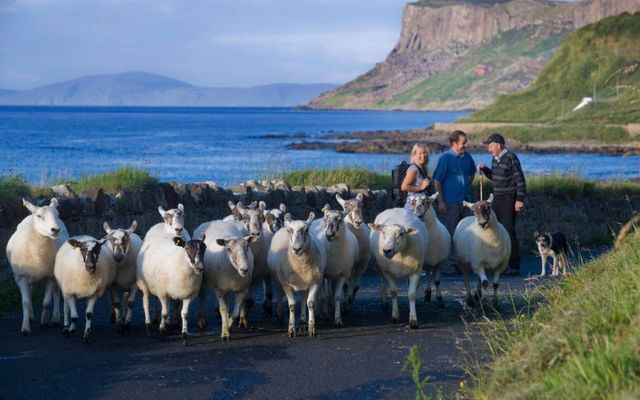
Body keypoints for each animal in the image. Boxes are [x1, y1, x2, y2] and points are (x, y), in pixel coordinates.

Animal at [6, 199, 68, 334]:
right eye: (40, 216)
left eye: (57, 214)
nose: (55, 230)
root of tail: (30, 214)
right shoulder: (21, 277)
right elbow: (25, 302)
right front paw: (25, 327)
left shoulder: (50, 277)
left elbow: (46, 303)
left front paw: (44, 321)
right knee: (30, 293)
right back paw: (30, 317)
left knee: (56, 294)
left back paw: (55, 319)